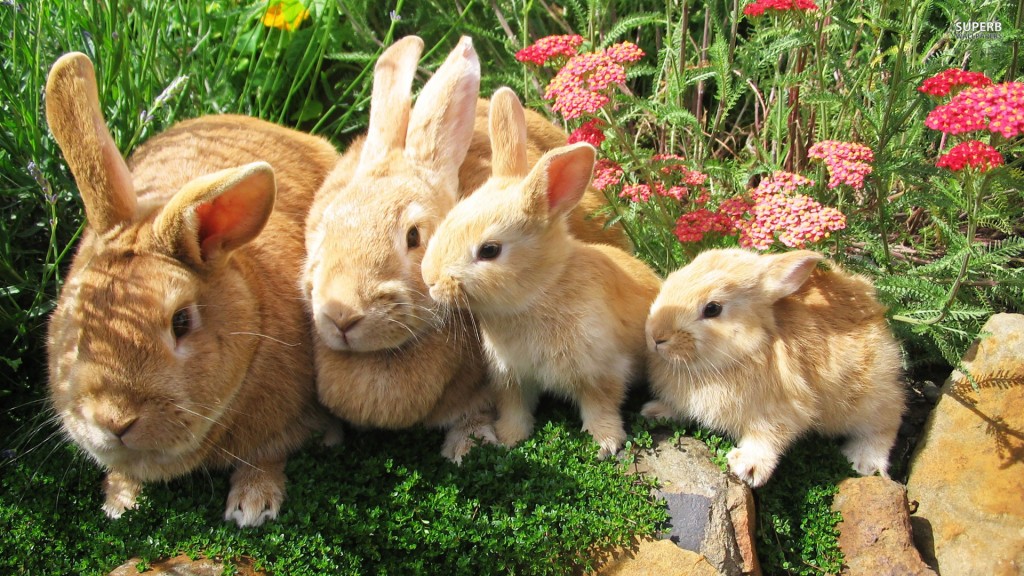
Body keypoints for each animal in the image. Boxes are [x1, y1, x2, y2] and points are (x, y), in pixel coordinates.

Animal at [44, 52, 338, 527]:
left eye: (181, 322)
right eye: (77, 314)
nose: (116, 421)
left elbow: (267, 456)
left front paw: (252, 507)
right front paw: (119, 503)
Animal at [421, 87, 663, 459]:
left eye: (489, 250)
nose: (430, 281)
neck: (539, 293)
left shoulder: (602, 370)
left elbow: (601, 406)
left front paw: (605, 443)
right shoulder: (512, 377)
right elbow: (515, 408)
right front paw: (509, 438)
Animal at [641, 248, 906, 487]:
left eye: (712, 309)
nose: (655, 336)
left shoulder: (781, 410)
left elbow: (767, 438)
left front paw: (747, 468)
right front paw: (654, 411)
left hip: (866, 396)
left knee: (888, 418)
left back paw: (863, 461)